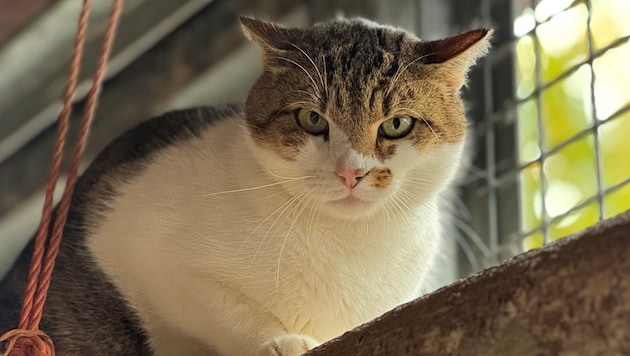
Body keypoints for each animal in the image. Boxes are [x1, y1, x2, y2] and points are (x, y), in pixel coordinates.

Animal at [0, 15, 492, 354]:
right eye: (312, 118)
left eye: (397, 124)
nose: (351, 172)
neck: (348, 245)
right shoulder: (132, 238)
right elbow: (217, 302)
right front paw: (278, 341)